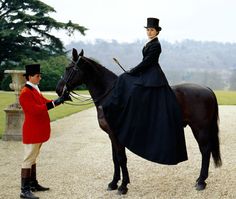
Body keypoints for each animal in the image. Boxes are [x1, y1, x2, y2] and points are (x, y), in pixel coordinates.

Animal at [56, 48, 222, 194]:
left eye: (68, 68)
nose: (58, 89)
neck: (110, 96)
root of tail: (207, 89)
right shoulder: (111, 135)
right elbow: (115, 159)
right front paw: (113, 183)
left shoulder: (117, 135)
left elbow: (122, 158)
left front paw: (123, 186)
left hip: (200, 128)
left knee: (205, 150)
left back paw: (201, 181)